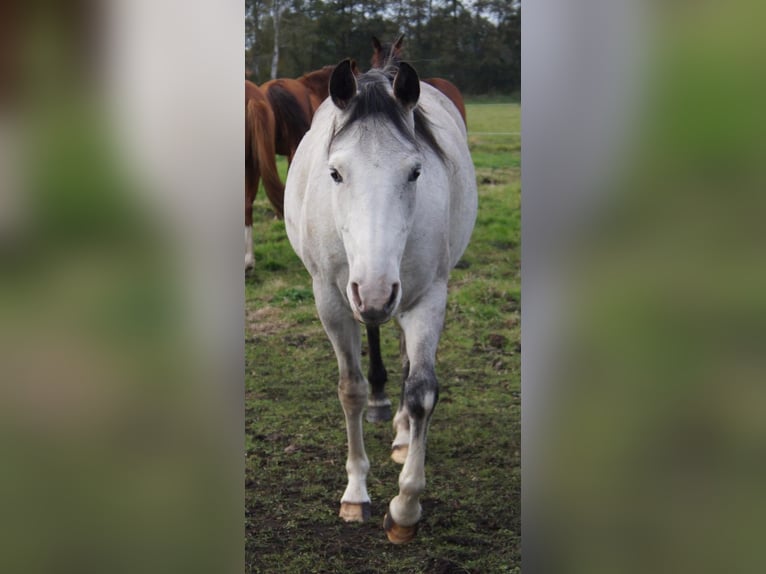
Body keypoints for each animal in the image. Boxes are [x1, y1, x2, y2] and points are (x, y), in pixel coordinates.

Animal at [283, 59, 477, 543]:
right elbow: (349, 388)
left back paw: (404, 433)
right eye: (335, 173)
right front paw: (355, 494)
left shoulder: (428, 297)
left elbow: (423, 392)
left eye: (415, 172)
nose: (373, 290)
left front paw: (405, 508)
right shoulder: (332, 301)